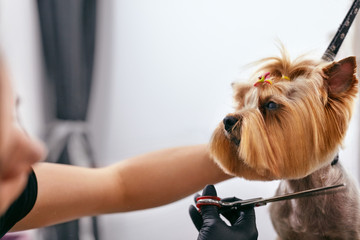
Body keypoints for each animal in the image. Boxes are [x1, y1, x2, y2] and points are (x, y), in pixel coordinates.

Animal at [210, 49, 360, 239]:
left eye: (271, 104)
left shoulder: (350, 231)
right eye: (244, 104)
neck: (304, 187)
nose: (227, 121)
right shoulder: (284, 232)